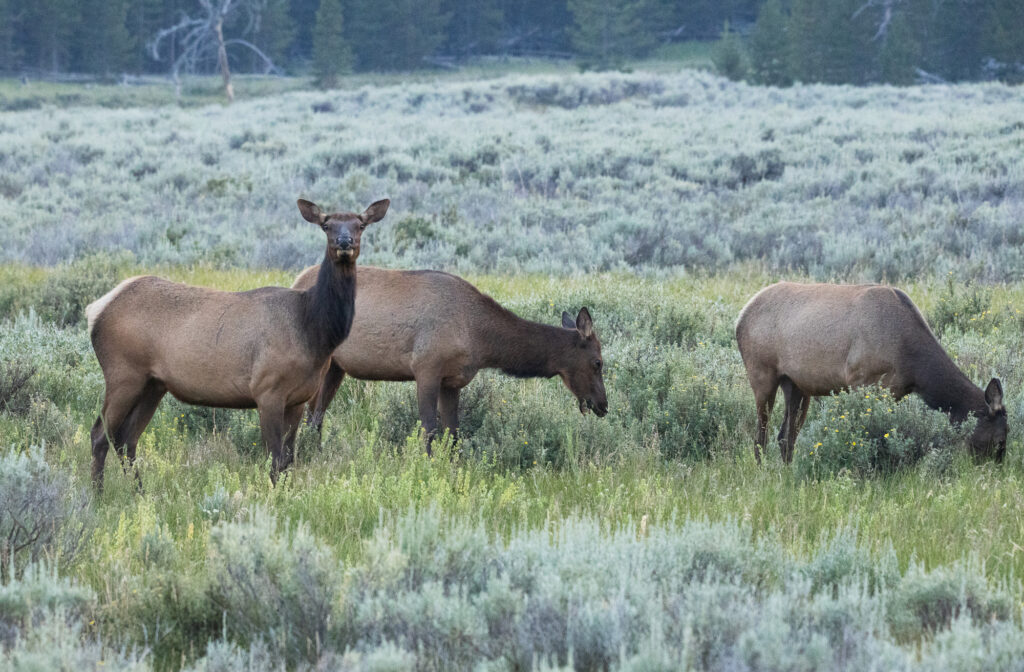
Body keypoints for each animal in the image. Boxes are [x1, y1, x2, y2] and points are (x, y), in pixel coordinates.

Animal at [82, 195, 387, 487]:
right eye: (326, 225)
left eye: (361, 225)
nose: (344, 242)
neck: (313, 331)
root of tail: (96, 309)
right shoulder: (267, 389)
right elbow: (275, 460)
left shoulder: (299, 398)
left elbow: (289, 461)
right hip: (123, 373)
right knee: (99, 434)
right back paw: (97, 495)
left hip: (153, 384)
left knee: (126, 439)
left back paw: (140, 494)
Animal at [288, 264, 606, 448]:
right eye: (598, 362)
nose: (603, 405)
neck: (479, 337)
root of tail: (294, 282)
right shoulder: (426, 368)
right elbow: (429, 430)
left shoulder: (452, 381)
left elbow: (453, 434)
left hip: (335, 367)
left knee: (315, 418)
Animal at [737, 280, 1007, 465]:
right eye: (999, 439)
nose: (998, 468)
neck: (914, 367)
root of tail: (740, 318)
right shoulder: (862, 381)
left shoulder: (894, 392)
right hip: (762, 374)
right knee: (761, 436)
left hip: (796, 384)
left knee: (786, 437)